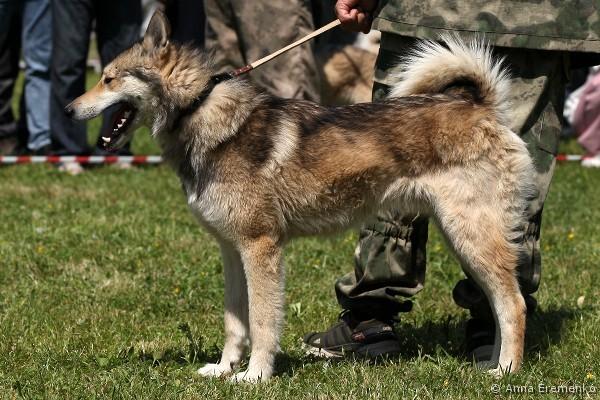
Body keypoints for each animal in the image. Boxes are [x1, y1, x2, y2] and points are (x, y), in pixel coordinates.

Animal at [66, 11, 535, 382]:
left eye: (108, 79)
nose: (70, 110)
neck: (200, 111)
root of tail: (482, 108)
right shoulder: (231, 251)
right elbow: (235, 322)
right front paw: (224, 369)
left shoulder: (261, 248)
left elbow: (262, 321)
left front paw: (255, 376)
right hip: (466, 239)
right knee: (501, 305)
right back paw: (492, 361)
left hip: (470, 236)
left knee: (513, 305)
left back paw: (506, 371)